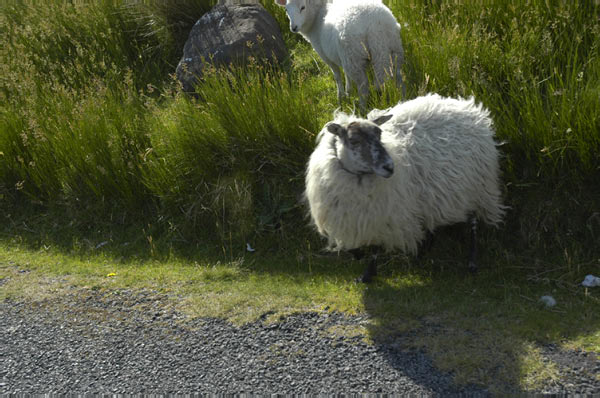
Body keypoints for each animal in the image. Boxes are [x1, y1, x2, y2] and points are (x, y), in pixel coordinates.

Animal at [276, 0, 406, 110]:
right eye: (286, 9)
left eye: (303, 7)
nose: (293, 28)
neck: (319, 13)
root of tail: (374, 26)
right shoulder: (340, 56)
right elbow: (346, 74)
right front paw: (349, 91)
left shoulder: (325, 55)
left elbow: (337, 75)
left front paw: (341, 97)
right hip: (392, 48)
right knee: (398, 76)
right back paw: (402, 98)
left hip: (353, 56)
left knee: (363, 85)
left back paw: (362, 109)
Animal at [304, 92, 506, 282]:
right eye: (354, 141)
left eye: (380, 135)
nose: (389, 167)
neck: (359, 178)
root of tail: (467, 106)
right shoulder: (354, 215)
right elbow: (354, 248)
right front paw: (358, 255)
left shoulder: (384, 214)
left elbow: (375, 247)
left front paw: (368, 274)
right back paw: (424, 250)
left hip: (476, 188)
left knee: (473, 223)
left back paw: (472, 260)